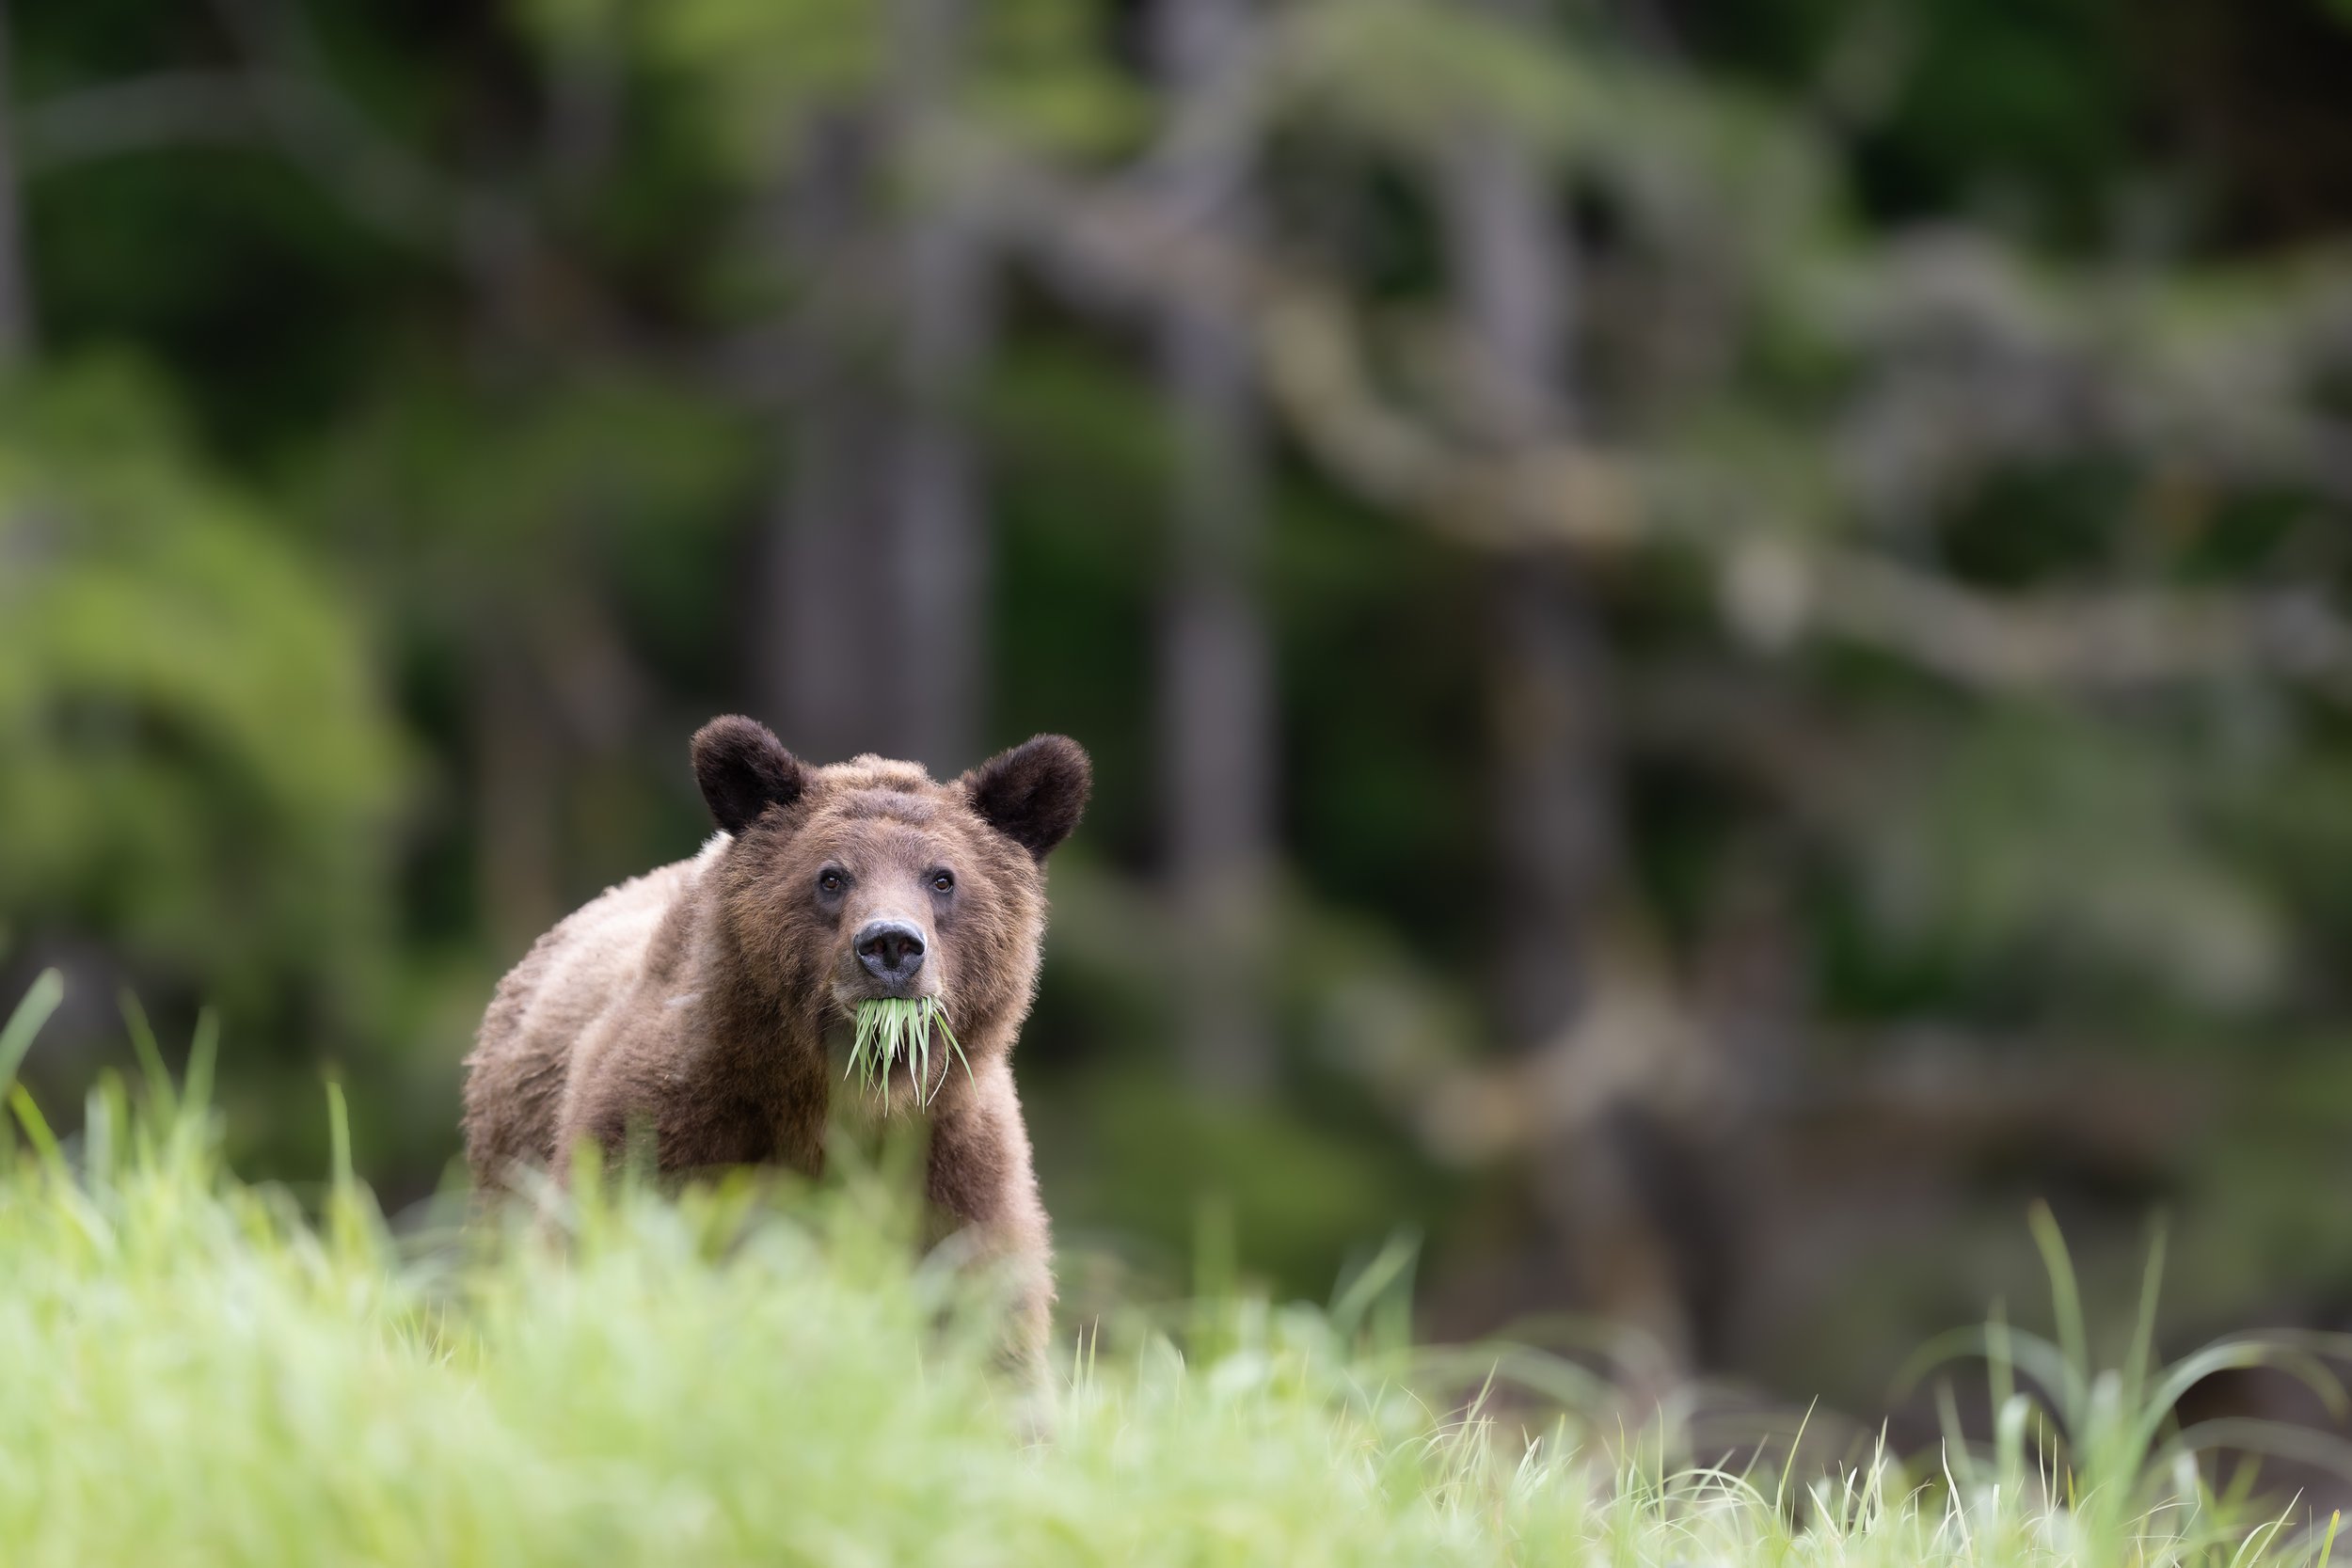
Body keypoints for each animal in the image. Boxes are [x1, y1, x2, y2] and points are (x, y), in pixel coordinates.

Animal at [462, 715, 1090, 1369]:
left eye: (943, 877)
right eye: (832, 876)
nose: (891, 945)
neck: (830, 1091)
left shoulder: (946, 1150)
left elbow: (980, 1307)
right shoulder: (676, 1114)